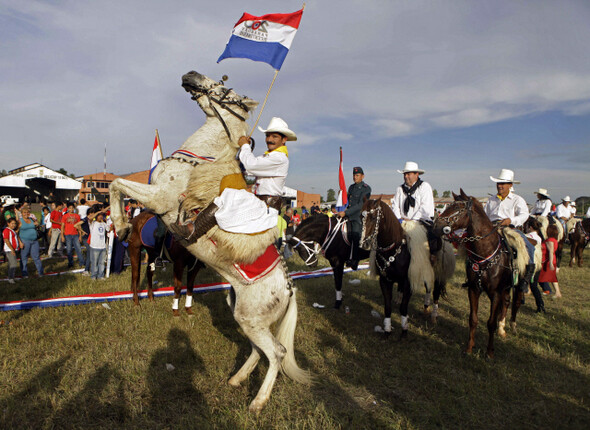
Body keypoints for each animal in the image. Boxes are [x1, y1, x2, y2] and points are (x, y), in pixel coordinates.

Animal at [112, 71, 314, 414]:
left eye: (225, 89)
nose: (190, 75)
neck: (198, 160)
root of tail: (289, 289)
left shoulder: (161, 199)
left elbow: (115, 184)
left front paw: (120, 225)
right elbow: (117, 184)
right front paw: (122, 225)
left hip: (252, 320)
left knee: (277, 353)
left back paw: (258, 402)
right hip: (245, 316)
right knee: (259, 350)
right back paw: (237, 379)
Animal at [432, 190, 524, 358]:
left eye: (458, 208)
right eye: (448, 205)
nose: (436, 226)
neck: (486, 253)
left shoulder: (495, 293)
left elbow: (490, 322)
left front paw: (489, 352)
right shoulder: (473, 289)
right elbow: (473, 319)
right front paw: (469, 348)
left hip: (515, 286)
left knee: (512, 303)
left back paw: (506, 328)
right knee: (506, 302)